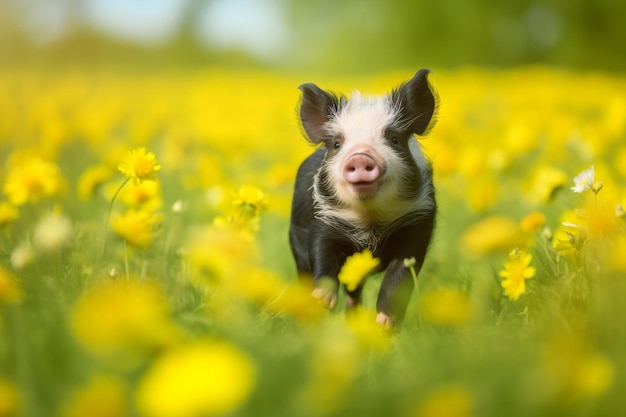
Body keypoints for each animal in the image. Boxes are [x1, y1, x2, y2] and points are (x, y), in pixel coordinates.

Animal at [288, 69, 434, 328]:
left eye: (394, 139)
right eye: (337, 144)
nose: (360, 156)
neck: (370, 221)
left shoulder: (418, 222)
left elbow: (400, 275)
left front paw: (384, 324)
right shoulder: (323, 217)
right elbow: (321, 254)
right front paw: (323, 301)